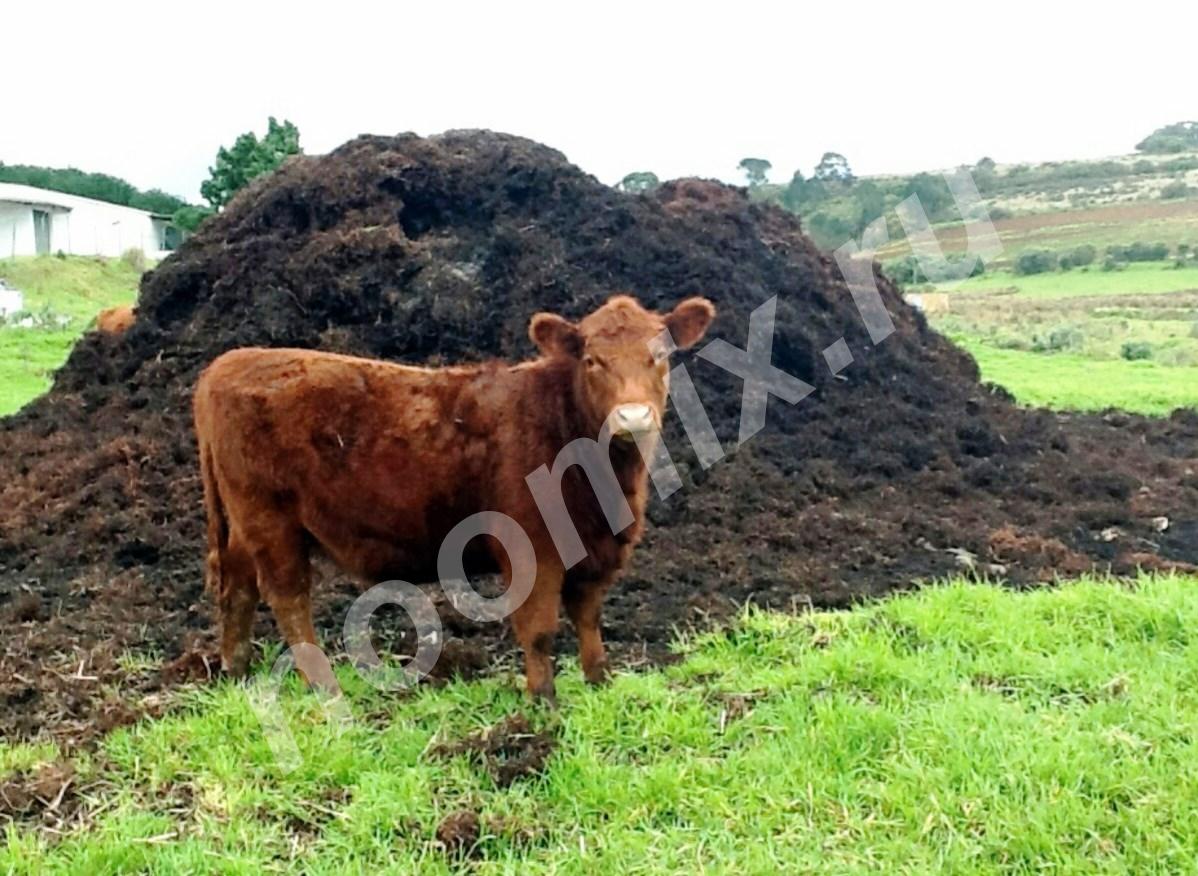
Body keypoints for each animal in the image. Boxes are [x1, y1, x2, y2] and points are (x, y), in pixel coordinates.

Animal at [192, 298, 714, 704]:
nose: (633, 416)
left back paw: (237, 671)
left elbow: (588, 616)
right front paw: (543, 701)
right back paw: (326, 689)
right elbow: (540, 626)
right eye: (592, 361)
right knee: (287, 597)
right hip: (270, 519)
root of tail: (228, 362)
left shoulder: (594, 547)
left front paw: (599, 682)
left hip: (245, 524)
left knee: (238, 586)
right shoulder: (533, 546)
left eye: (660, 357)